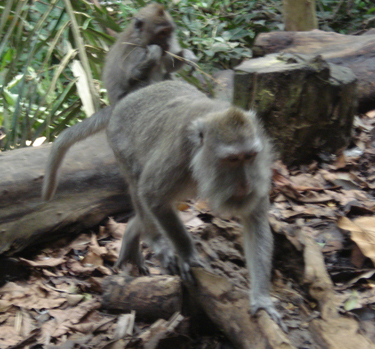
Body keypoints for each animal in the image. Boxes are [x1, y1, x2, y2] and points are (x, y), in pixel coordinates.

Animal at [41, 80, 284, 328]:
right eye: (232, 159)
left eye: (250, 156)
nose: (246, 183)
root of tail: (124, 101)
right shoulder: (177, 155)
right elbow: (151, 193)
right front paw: (187, 254)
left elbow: (255, 222)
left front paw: (262, 300)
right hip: (120, 144)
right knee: (139, 186)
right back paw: (155, 240)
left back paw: (133, 232)